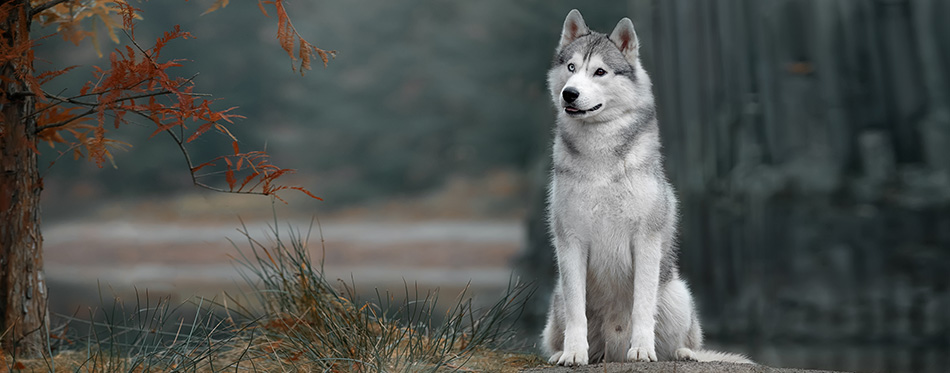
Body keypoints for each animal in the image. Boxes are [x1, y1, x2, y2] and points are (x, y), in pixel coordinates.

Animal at [544, 9, 752, 366]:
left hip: (679, 293)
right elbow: (576, 311)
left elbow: (643, 306)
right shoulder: (570, 240)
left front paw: (641, 349)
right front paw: (573, 353)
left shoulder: (645, 240)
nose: (569, 93)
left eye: (600, 71)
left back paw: (682, 353)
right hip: (556, 299)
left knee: (681, 342)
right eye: (571, 67)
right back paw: (566, 353)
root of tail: (612, 351)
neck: (600, 158)